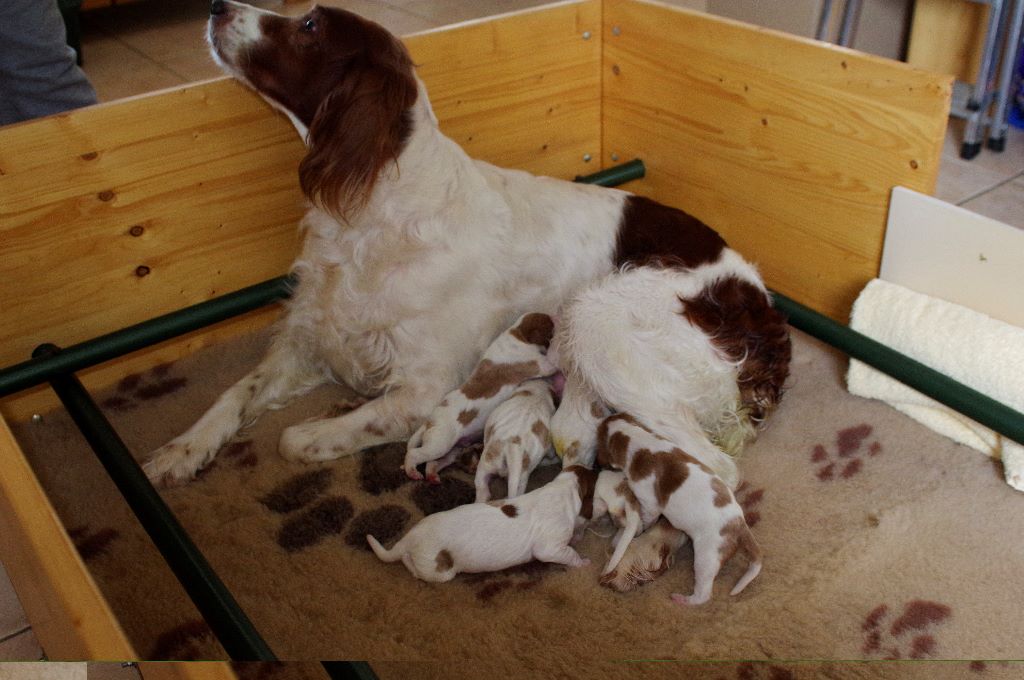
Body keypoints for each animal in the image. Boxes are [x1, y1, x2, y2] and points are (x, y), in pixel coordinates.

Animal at [368, 466, 598, 585]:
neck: (563, 488)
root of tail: (410, 537)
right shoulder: (550, 548)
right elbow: (569, 554)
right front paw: (584, 562)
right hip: (439, 571)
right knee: (414, 569)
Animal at [401, 313, 561, 483]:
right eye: (550, 324)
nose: (555, 317)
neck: (517, 333)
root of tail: (429, 421)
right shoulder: (542, 364)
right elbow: (552, 360)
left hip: (451, 449)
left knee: (433, 462)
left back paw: (432, 475)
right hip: (439, 444)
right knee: (414, 454)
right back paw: (412, 471)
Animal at [593, 411, 761, 602]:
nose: (595, 464)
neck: (638, 440)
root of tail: (740, 526)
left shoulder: (649, 503)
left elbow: (647, 520)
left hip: (706, 558)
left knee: (703, 594)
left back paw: (683, 599)